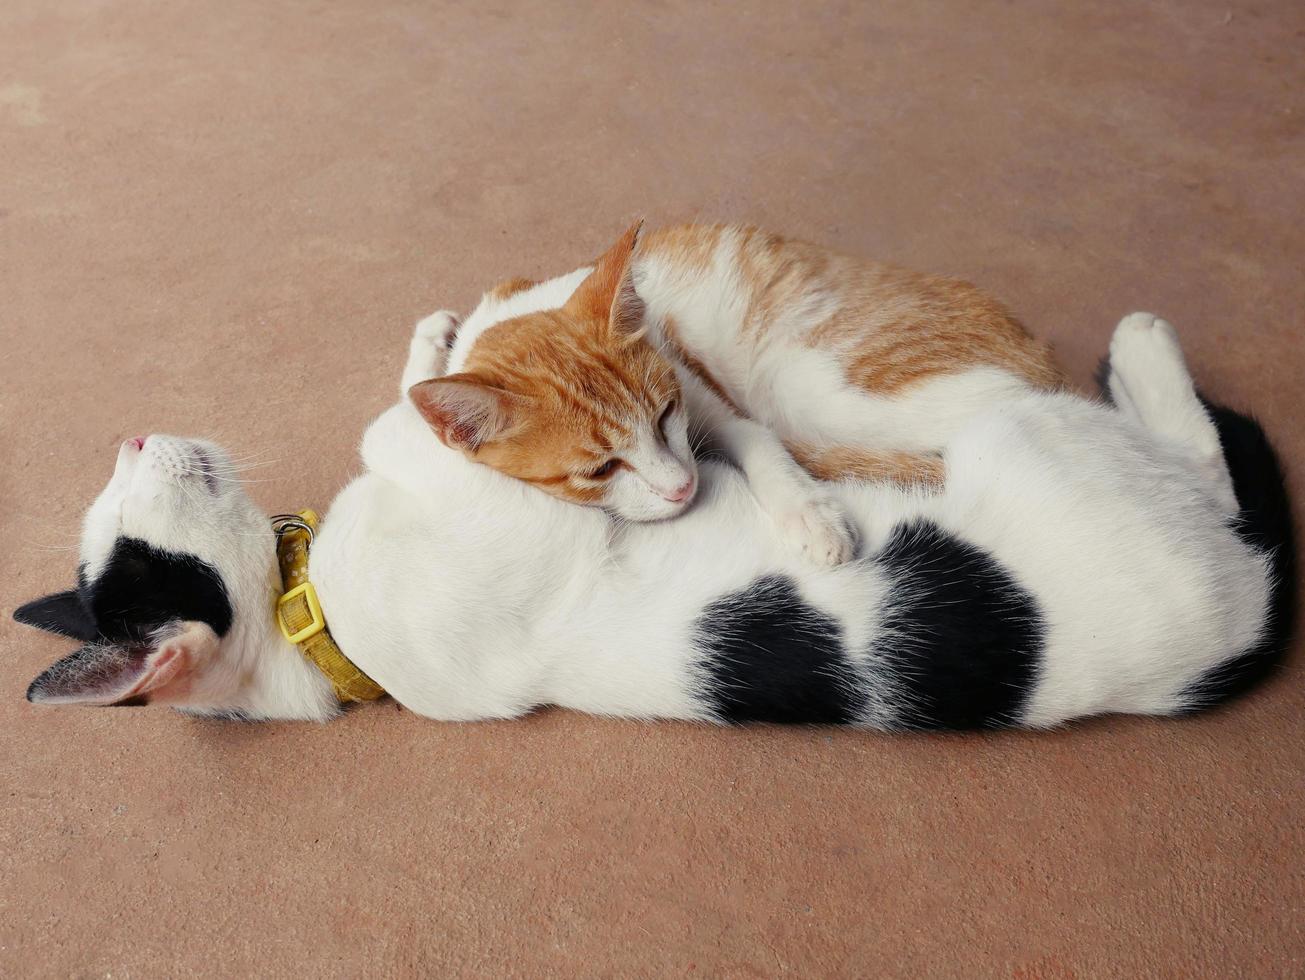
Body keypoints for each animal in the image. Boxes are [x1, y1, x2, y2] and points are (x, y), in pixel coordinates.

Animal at [12, 314, 1294, 730]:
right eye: (132, 544)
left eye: (115, 517)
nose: (133, 437)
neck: (307, 615)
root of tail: (1239, 625)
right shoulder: (527, 525)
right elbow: (406, 435)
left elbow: (418, 406)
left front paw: (438, 343)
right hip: (1032, 440)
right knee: (1210, 467)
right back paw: (1142, 348)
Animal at [407, 220, 1059, 558]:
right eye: (599, 470)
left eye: (665, 414)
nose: (683, 487)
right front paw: (432, 337)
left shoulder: (704, 393)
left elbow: (762, 446)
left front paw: (811, 516)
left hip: (813, 384)